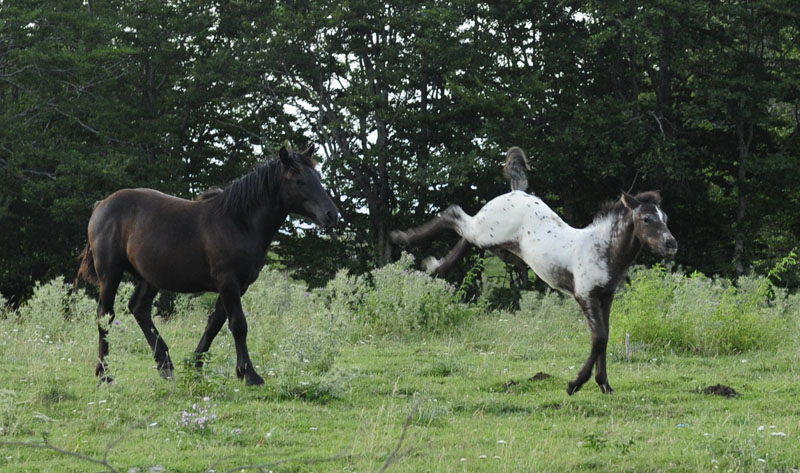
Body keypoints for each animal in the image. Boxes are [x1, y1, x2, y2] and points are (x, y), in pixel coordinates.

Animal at [76, 146, 336, 386]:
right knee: (105, 316)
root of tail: (102, 204)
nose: (331, 214)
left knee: (139, 309)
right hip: (110, 274)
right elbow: (238, 324)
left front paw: (196, 365)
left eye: (319, 177)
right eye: (299, 180)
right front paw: (249, 374)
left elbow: (215, 324)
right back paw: (105, 375)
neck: (238, 221)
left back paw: (165, 366)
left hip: (149, 278)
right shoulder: (227, 281)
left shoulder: (238, 285)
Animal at [390, 148, 680, 394]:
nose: (671, 244)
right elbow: (599, 338)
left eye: (665, 218)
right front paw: (575, 384)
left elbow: (605, 337)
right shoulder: (584, 295)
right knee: (454, 214)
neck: (601, 249)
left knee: (464, 235)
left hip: (492, 239)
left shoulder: (605, 297)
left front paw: (604, 384)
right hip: (487, 231)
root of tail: (517, 191)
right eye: (646, 219)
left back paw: (436, 265)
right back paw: (403, 239)